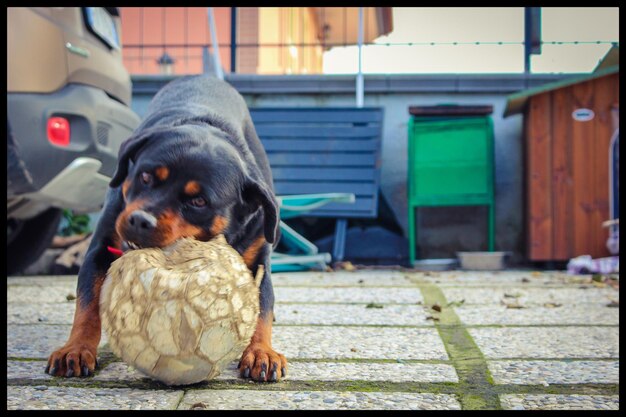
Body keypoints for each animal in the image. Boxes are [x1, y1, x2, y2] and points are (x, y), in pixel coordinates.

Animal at [45, 74, 286, 380]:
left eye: (198, 201)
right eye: (145, 176)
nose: (140, 220)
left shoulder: (258, 259)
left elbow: (262, 307)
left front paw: (261, 353)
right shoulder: (100, 248)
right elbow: (86, 303)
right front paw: (75, 349)